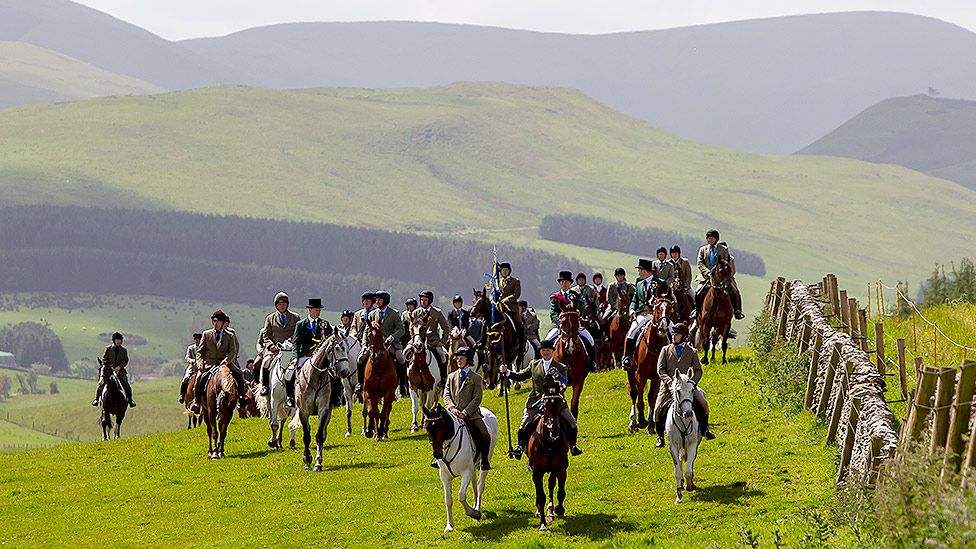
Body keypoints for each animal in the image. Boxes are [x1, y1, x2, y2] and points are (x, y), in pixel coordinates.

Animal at [422, 402, 500, 532]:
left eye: (441, 426)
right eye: (427, 427)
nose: (437, 454)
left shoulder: (466, 472)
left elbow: (461, 496)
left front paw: (473, 513)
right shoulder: (445, 476)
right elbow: (448, 500)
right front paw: (449, 525)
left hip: (486, 459)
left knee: (480, 486)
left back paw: (477, 509)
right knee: (475, 485)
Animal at [528, 386, 572, 532]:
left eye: (559, 405)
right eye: (545, 406)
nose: (554, 430)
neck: (549, 442)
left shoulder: (560, 467)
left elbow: (560, 490)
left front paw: (558, 509)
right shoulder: (537, 471)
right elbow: (540, 496)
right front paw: (542, 524)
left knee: (551, 484)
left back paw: (551, 511)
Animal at [628, 300, 676, 432]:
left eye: (670, 309)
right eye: (658, 308)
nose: (663, 327)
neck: (654, 347)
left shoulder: (656, 376)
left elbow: (652, 398)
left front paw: (650, 425)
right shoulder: (641, 375)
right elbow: (639, 399)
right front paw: (641, 420)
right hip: (630, 372)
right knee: (633, 393)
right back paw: (633, 422)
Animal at [664, 370, 700, 504]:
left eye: (692, 390)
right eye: (678, 391)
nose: (688, 414)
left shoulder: (693, 445)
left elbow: (688, 470)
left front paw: (689, 486)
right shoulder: (673, 447)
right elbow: (677, 471)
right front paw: (678, 495)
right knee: (679, 463)